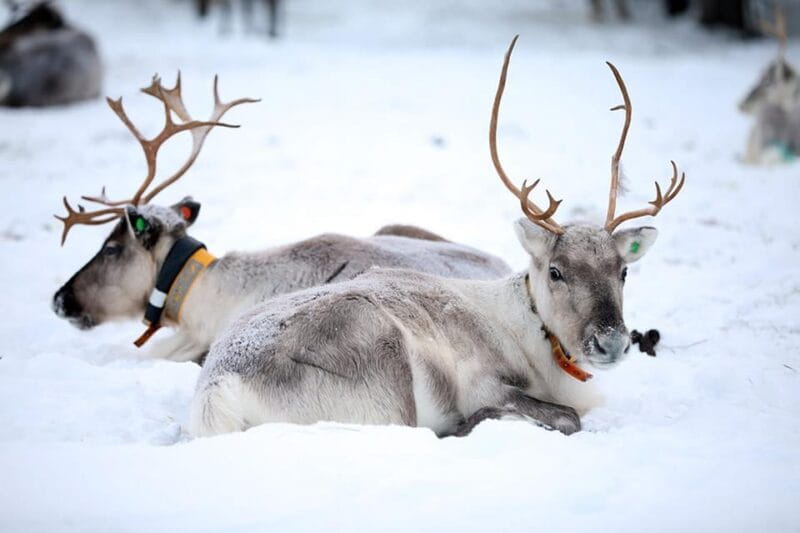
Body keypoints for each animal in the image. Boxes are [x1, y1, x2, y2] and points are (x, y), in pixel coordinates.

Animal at [190, 35, 686, 439]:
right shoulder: (485, 382)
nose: (612, 343)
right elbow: (568, 416)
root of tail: (217, 388)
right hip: (385, 372)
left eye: (623, 271)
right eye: (556, 271)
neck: (533, 333)